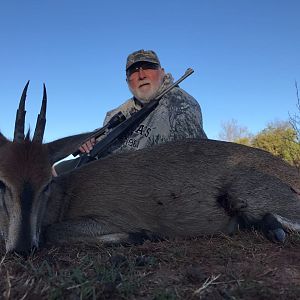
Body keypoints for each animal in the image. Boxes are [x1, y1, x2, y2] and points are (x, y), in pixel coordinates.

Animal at [0, 83, 300, 254]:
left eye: (46, 183)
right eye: (2, 182)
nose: (21, 249)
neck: (67, 194)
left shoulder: (109, 217)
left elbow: (52, 232)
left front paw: (140, 235)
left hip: (249, 195)